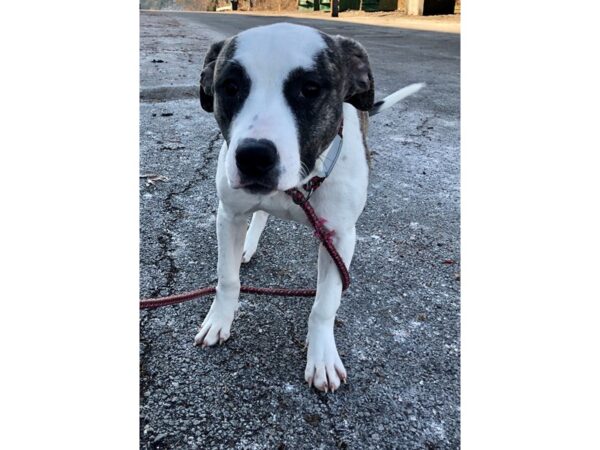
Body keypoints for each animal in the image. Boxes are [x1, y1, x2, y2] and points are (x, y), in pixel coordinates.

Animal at [196, 22, 422, 392]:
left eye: (311, 89)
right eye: (230, 87)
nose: (254, 156)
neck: (301, 183)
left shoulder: (339, 237)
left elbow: (324, 306)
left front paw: (322, 358)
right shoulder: (229, 215)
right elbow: (227, 279)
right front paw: (219, 320)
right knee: (260, 213)